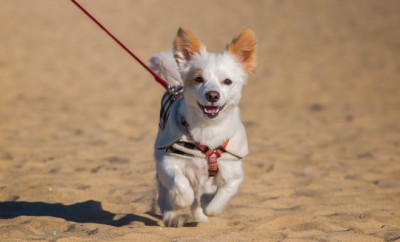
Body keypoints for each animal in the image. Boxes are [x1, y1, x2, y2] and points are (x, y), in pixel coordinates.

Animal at [149, 28, 256, 227]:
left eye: (227, 81)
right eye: (198, 79)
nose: (212, 95)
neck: (208, 129)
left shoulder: (234, 172)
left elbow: (219, 197)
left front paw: (209, 206)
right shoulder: (168, 162)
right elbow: (181, 185)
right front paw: (180, 199)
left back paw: (200, 216)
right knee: (164, 195)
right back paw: (171, 215)